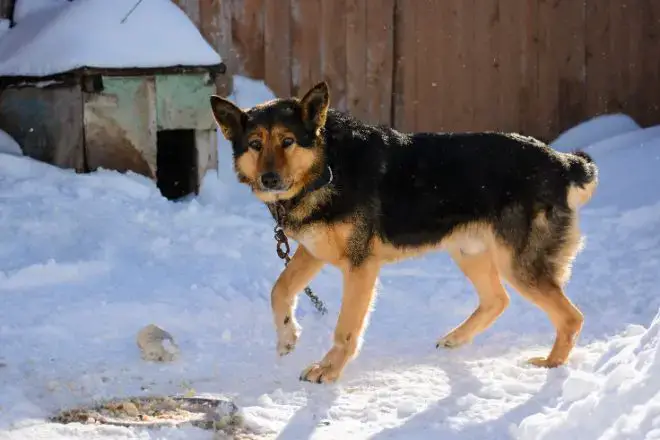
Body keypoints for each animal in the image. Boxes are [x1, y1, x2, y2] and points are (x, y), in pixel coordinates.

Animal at [210, 81, 600, 384]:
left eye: (288, 141)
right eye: (255, 144)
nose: (269, 179)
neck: (328, 166)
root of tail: (561, 162)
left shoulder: (360, 267)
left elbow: (345, 328)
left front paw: (328, 370)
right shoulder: (313, 251)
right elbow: (279, 290)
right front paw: (287, 335)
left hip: (517, 265)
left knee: (571, 317)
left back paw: (551, 366)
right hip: (469, 252)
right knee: (497, 300)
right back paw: (456, 339)